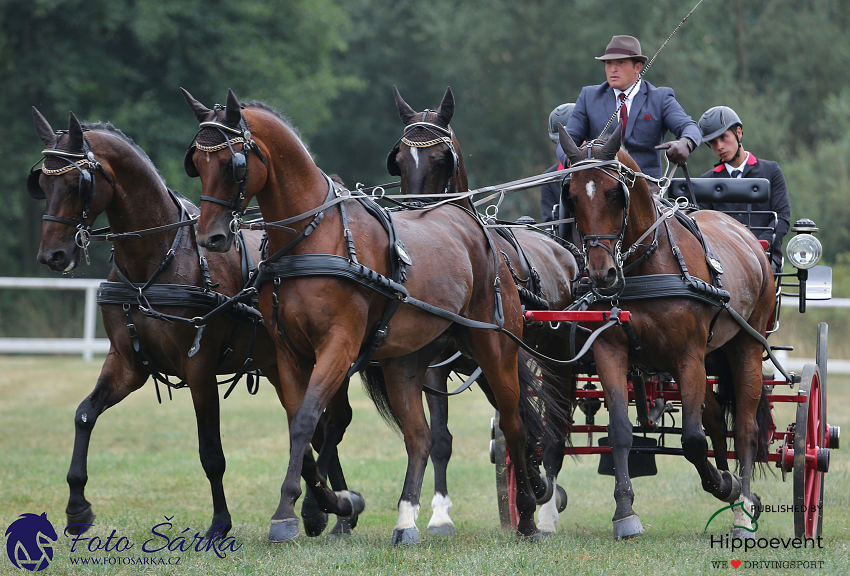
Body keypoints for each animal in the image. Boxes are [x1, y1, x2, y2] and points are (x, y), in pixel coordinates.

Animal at [28, 108, 356, 540]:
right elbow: (84, 414)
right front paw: (77, 508)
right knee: (311, 428)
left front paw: (220, 523)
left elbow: (211, 453)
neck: (155, 263)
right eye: (42, 183)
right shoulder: (127, 364)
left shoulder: (199, 369)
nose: (52, 256)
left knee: (327, 423)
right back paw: (331, 510)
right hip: (277, 365)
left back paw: (333, 510)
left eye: (75, 183)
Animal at [181, 88, 552, 544]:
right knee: (420, 436)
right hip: (406, 362)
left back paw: (528, 514)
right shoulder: (288, 352)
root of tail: (473, 222)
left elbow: (308, 421)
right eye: (196, 162)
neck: (311, 236)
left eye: (233, 164)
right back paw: (406, 520)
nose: (209, 237)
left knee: (514, 424)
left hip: (495, 349)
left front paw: (292, 512)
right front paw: (332, 504)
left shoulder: (338, 345)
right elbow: (305, 427)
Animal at [386, 86, 576, 536]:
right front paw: (438, 513)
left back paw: (547, 504)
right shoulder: (434, 365)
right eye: (399, 160)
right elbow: (440, 438)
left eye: (442, 159)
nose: (415, 214)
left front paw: (536, 494)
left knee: (557, 423)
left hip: (558, 357)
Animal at [552, 124, 780, 536]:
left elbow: (691, 440)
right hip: (710, 357)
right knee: (715, 420)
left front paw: (725, 486)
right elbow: (621, 432)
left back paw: (741, 507)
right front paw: (625, 514)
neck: (647, 263)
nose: (602, 274)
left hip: (746, 347)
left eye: (615, 194)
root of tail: (746, 234)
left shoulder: (687, 356)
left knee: (744, 429)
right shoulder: (610, 349)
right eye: (572, 197)